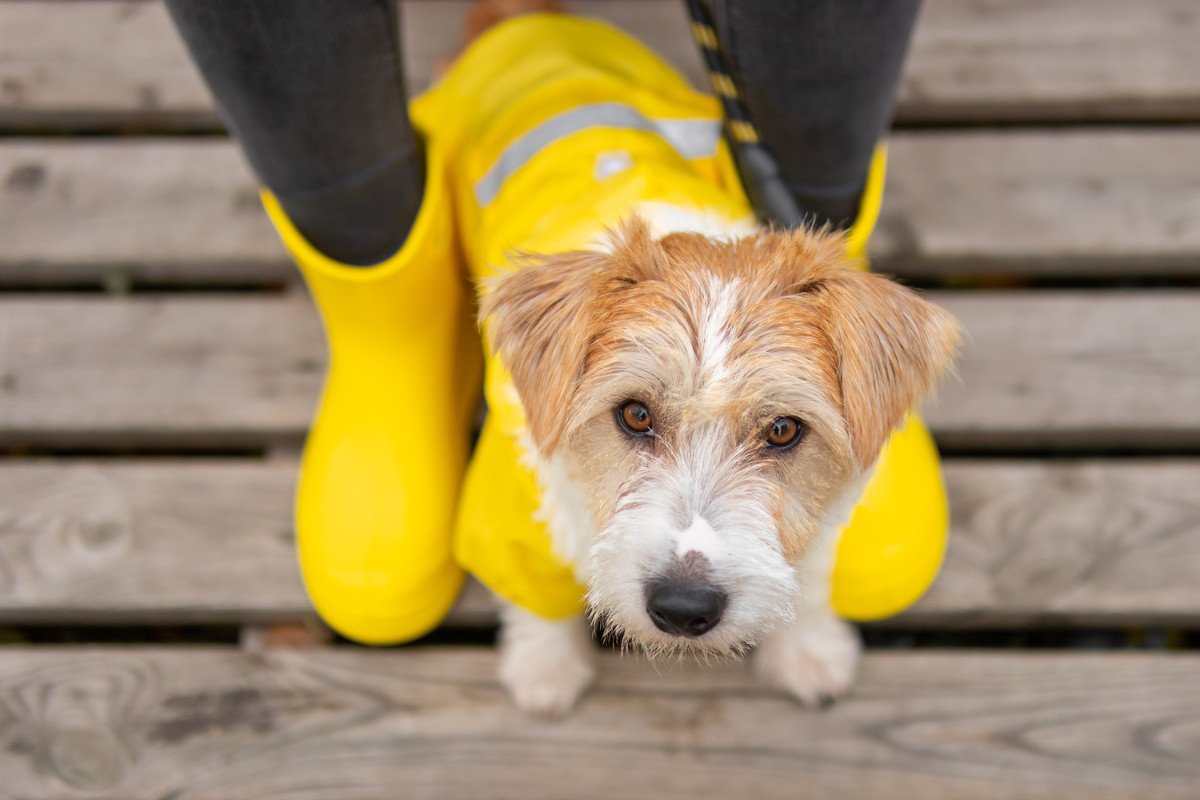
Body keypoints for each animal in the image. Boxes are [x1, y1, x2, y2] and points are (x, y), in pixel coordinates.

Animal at [436, 0, 960, 714]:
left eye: (784, 429)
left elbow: (808, 579)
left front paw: (808, 651)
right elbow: (536, 599)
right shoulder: (511, 520)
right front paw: (544, 669)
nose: (684, 608)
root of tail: (531, 23)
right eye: (633, 414)